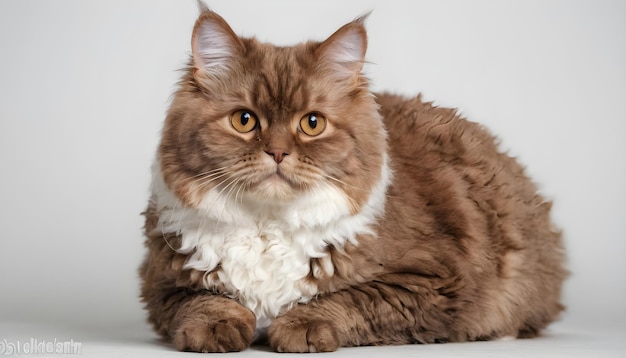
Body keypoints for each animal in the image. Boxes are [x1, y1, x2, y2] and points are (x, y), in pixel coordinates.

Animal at [139, 4, 568, 354]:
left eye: (312, 124)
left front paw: (298, 328)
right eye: (244, 120)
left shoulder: (429, 281)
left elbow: (346, 300)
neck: (268, 224)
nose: (277, 152)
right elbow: (204, 302)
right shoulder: (164, 280)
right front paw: (216, 330)